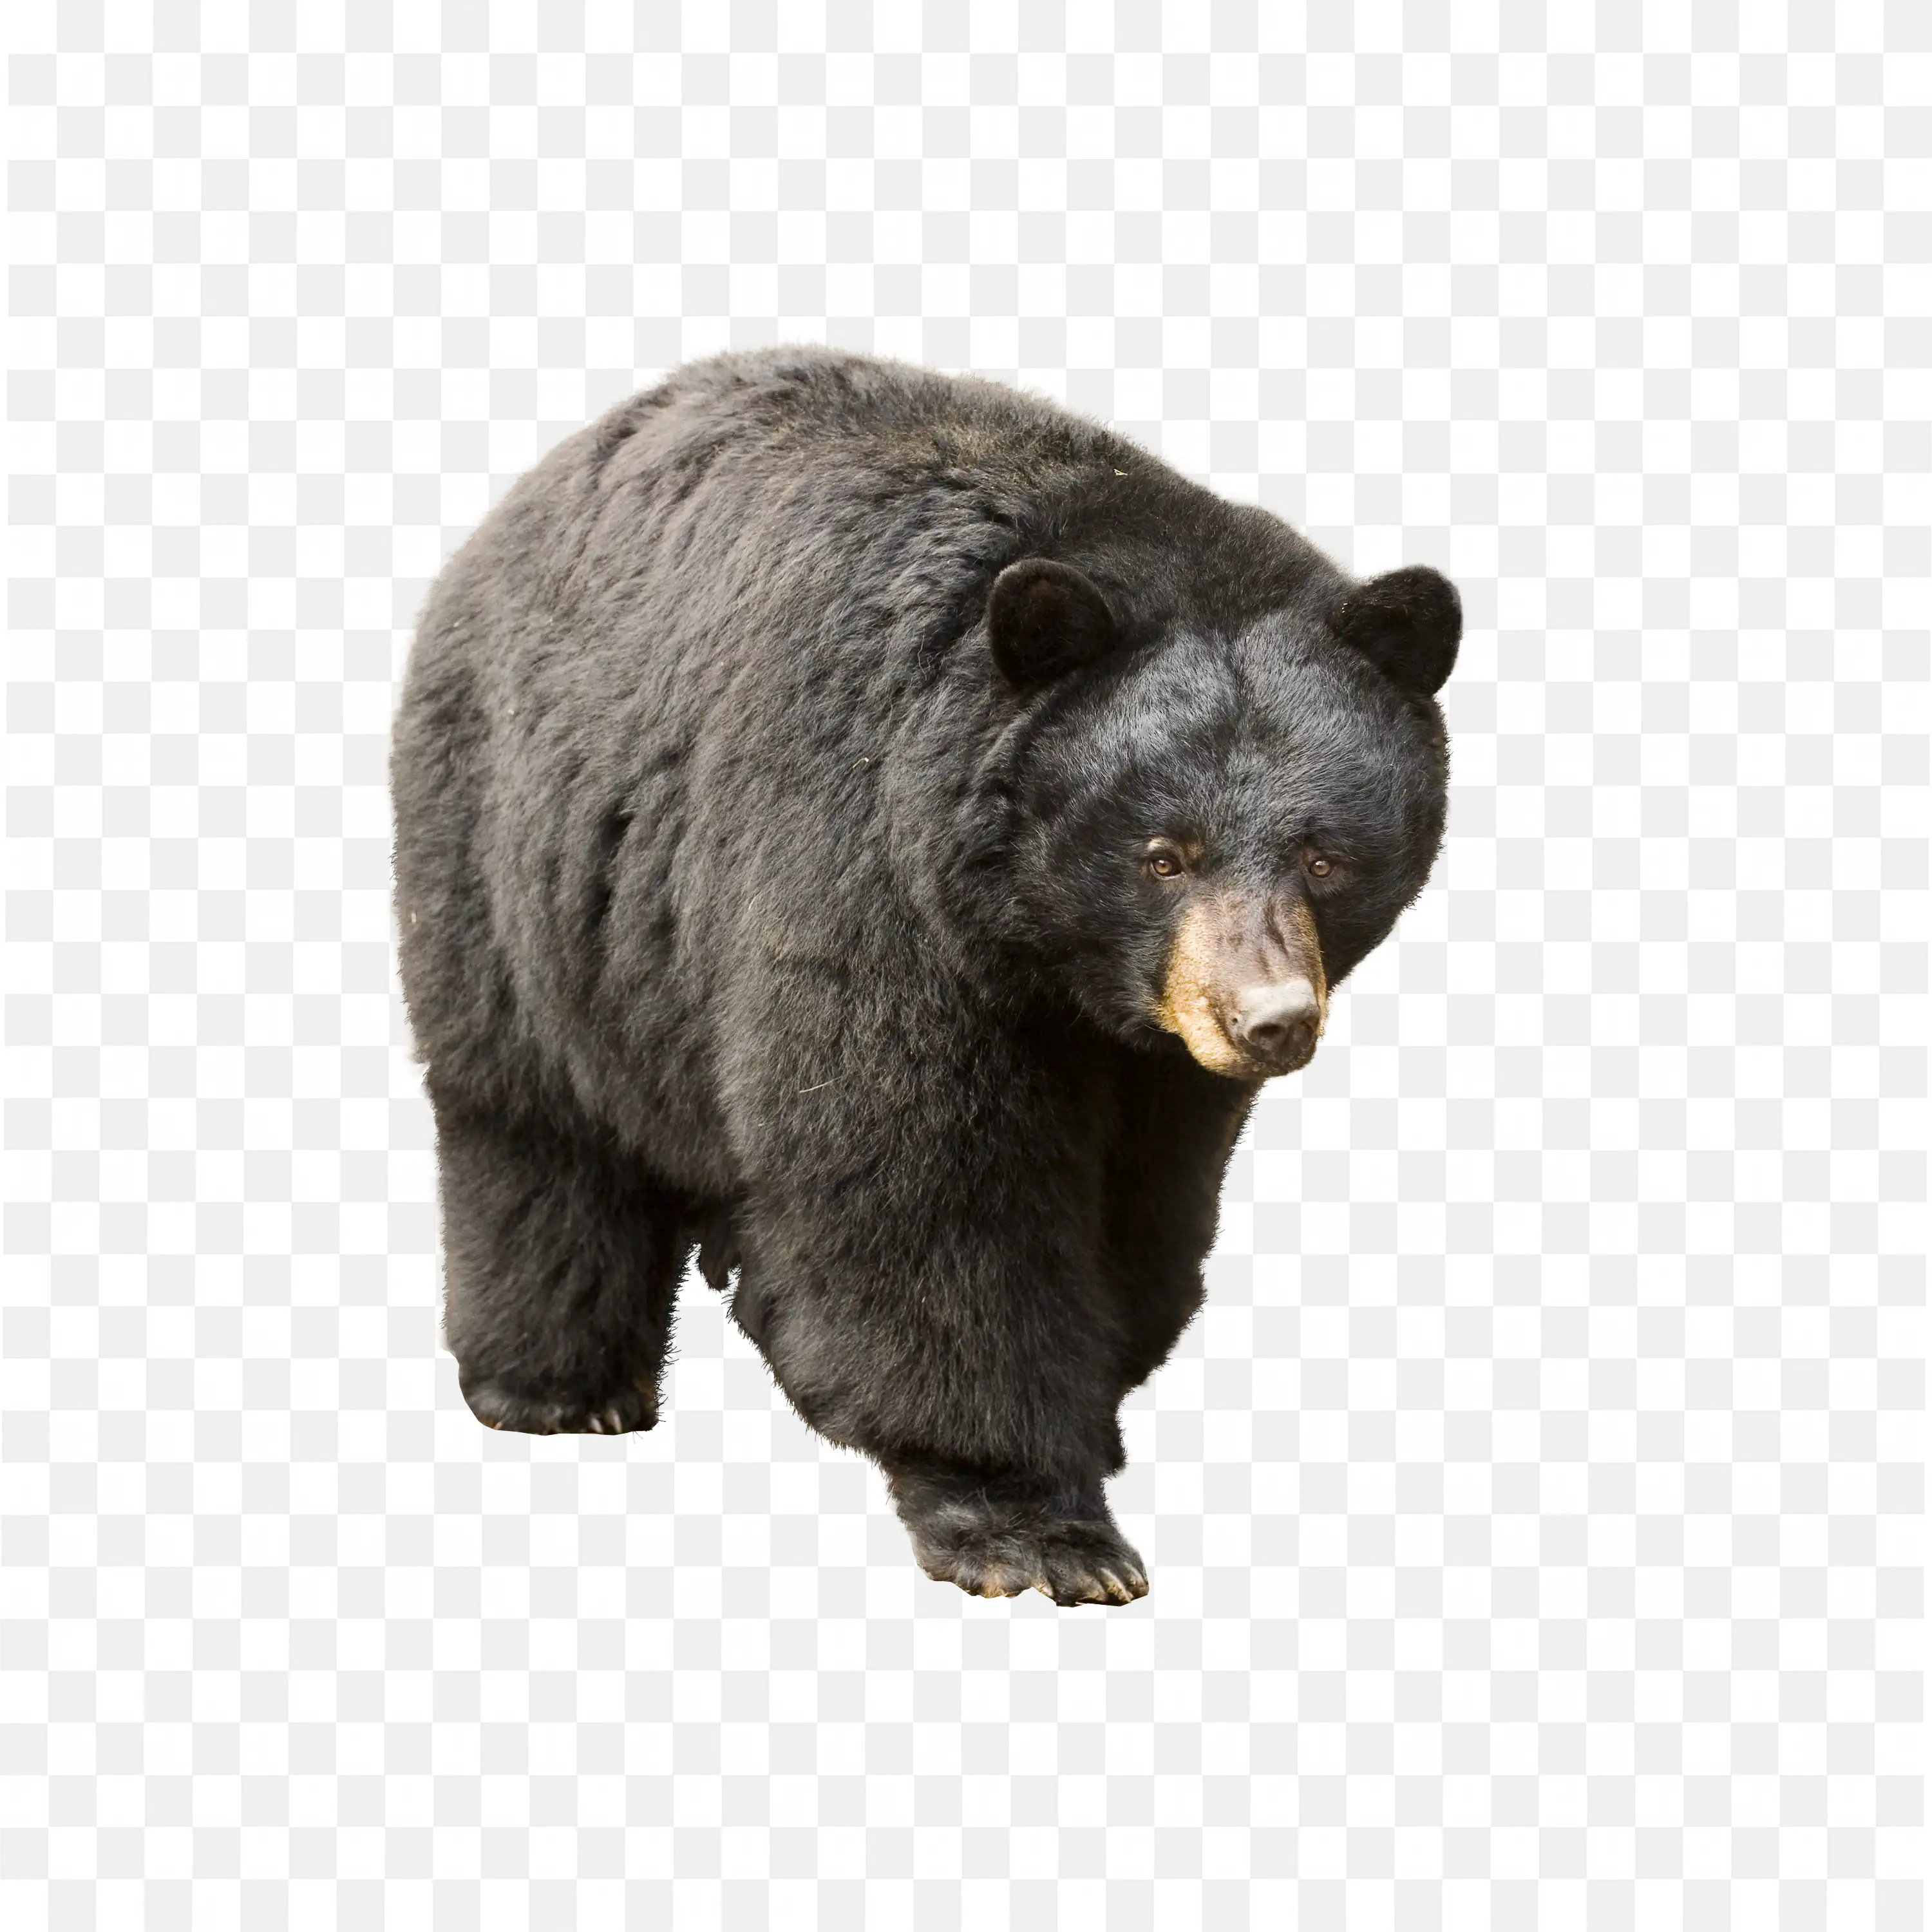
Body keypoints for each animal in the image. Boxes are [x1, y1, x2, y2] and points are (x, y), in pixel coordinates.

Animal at [389, 342, 1459, 1605]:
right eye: (1164, 853)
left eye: (1325, 855)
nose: (1269, 1020)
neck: (1039, 950)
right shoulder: (867, 873)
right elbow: (924, 1185)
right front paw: (1029, 1522)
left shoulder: (1151, 1059)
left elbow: (1143, 1198)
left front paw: (1093, 1413)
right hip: (516, 852)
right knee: (532, 1118)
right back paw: (562, 1385)